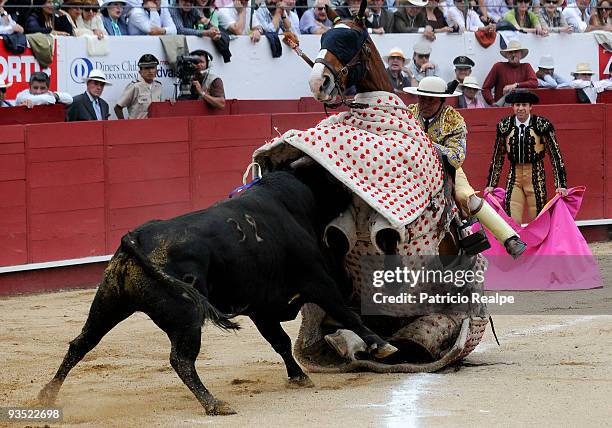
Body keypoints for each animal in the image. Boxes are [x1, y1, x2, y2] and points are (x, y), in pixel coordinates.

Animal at [40, 163, 400, 414]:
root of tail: (136, 238)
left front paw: (299, 376)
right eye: (331, 180)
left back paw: (47, 394)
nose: (354, 192)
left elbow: (280, 342)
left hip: (109, 302)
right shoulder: (317, 281)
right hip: (186, 317)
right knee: (180, 360)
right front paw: (381, 345)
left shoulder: (261, 308)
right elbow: (346, 313)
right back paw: (214, 404)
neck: (293, 203)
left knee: (81, 343)